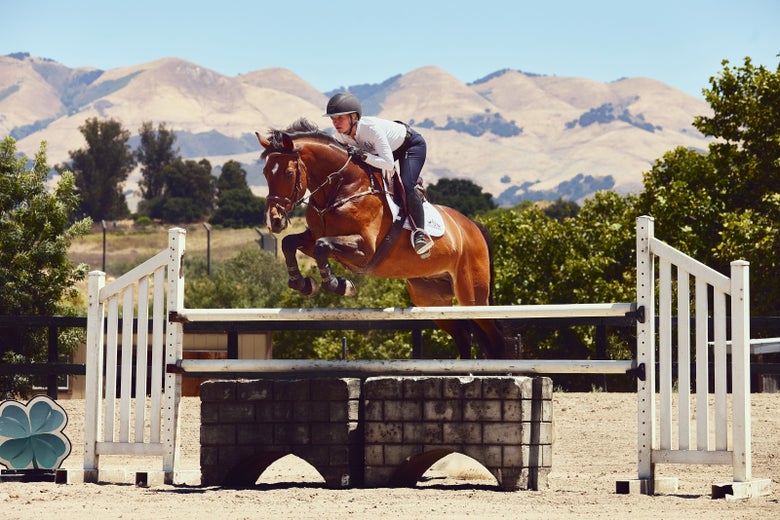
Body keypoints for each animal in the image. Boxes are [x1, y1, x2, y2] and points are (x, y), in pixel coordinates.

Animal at [255, 118, 508, 359]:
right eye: (266, 173)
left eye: (288, 173)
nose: (274, 220)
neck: (342, 188)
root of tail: (474, 226)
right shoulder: (314, 236)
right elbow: (290, 243)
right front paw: (303, 284)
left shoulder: (364, 250)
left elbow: (322, 246)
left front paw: (339, 285)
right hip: (430, 296)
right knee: (464, 335)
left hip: (472, 294)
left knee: (494, 336)